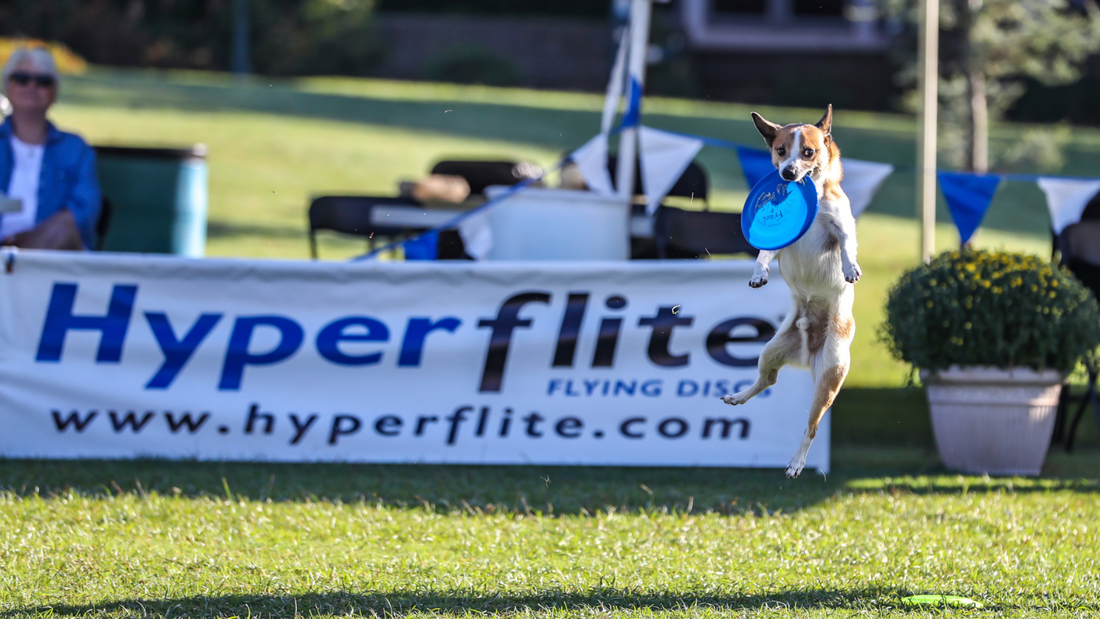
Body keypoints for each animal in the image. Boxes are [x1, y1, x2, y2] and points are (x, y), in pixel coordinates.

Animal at [726, 105, 862, 479]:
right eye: (780, 150)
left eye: (809, 152)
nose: (787, 173)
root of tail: (807, 354)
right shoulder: (776, 242)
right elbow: (763, 253)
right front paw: (759, 274)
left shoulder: (840, 225)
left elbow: (846, 244)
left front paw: (849, 268)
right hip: (770, 350)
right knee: (767, 380)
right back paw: (738, 396)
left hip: (829, 377)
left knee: (811, 426)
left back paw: (797, 463)